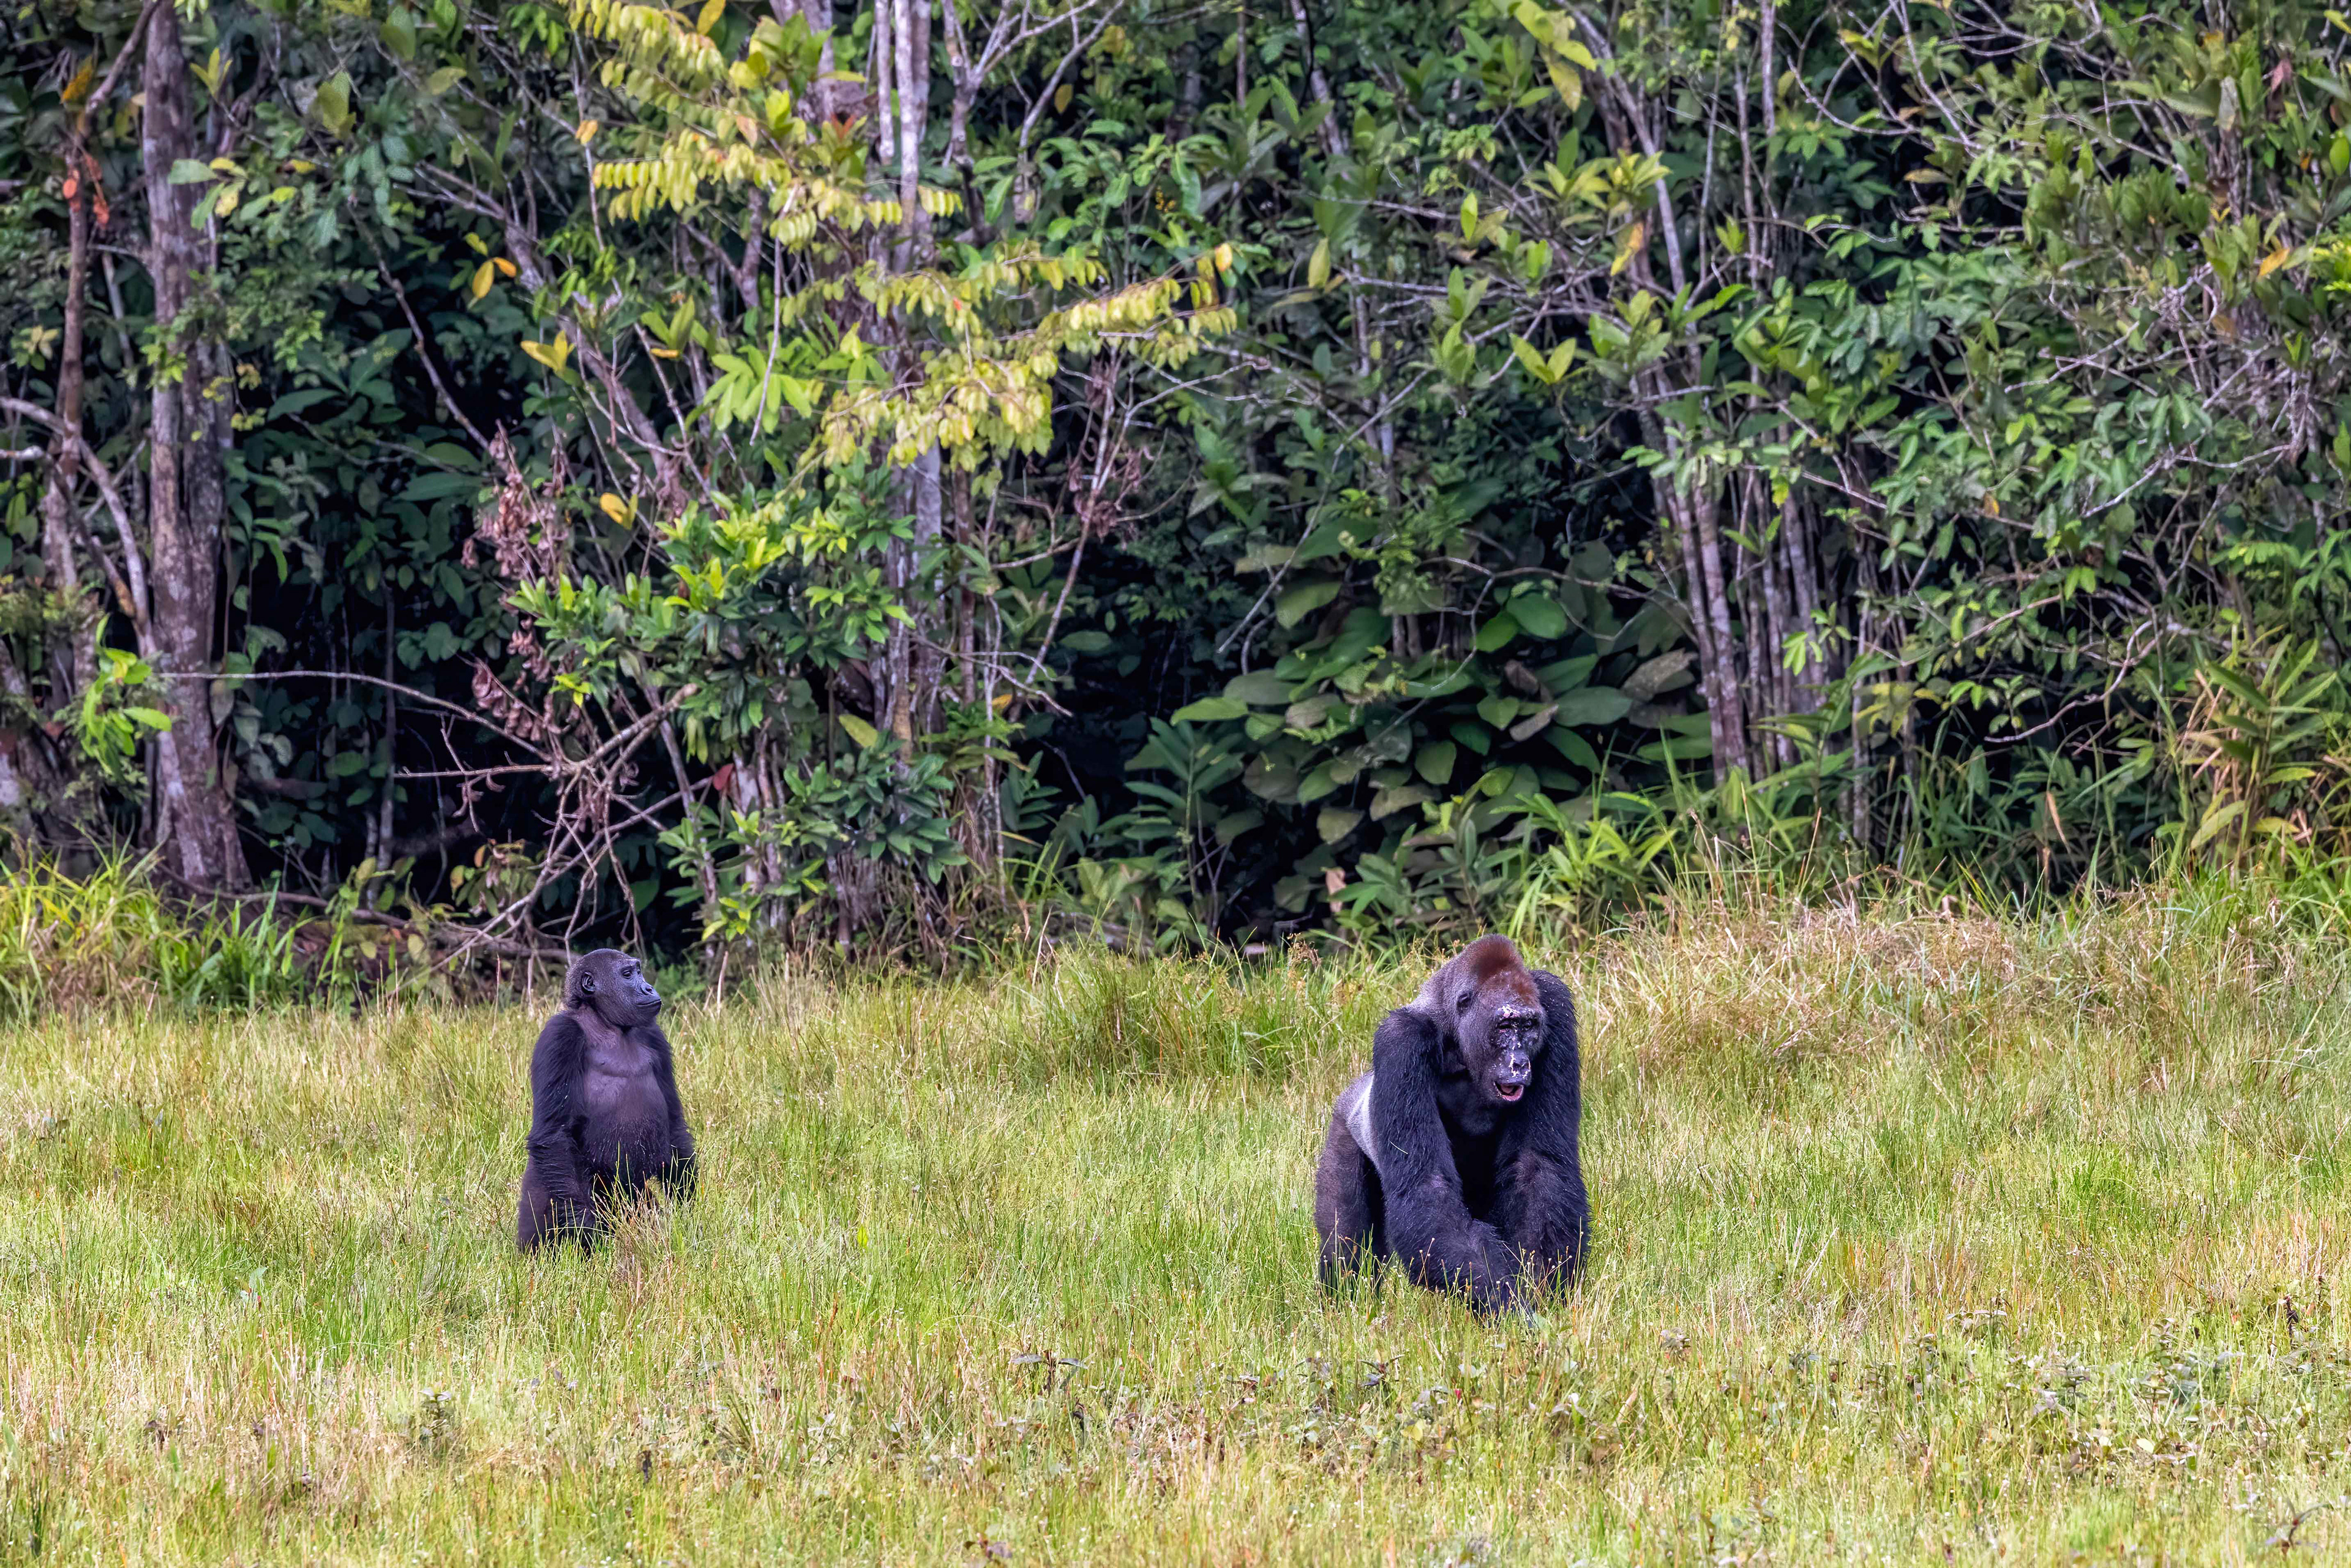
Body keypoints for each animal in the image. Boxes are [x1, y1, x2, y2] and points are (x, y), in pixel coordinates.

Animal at [516, 949, 696, 1252]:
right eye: (628, 975)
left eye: (638, 972)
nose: (648, 988)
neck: (604, 1021)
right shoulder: (560, 1034)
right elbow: (554, 1134)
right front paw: (585, 1231)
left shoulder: (654, 1035)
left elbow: (674, 1126)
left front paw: (688, 1210)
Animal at [1313, 934, 1587, 1314]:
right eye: (1505, 1026)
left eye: (1529, 1027)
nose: (1519, 1064)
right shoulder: (1402, 1040)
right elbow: (1428, 1186)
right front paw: (1506, 1303)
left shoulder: (1554, 1004)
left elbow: (1539, 1167)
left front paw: (1544, 1288)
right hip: (1343, 1128)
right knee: (1346, 1248)